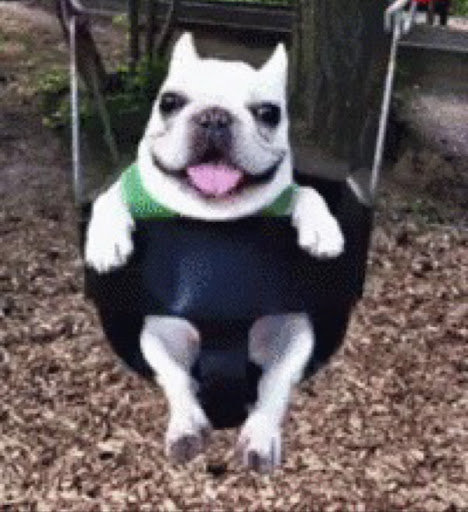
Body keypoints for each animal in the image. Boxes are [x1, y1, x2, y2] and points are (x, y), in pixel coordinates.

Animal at [85, 33, 344, 472]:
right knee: (179, 381)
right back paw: (187, 428)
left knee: (273, 386)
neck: (213, 217)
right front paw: (105, 240)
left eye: (268, 113)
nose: (215, 117)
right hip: (160, 336)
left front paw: (323, 229)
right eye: (169, 102)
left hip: (293, 335)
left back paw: (258, 439)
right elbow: (110, 194)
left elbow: (307, 192)